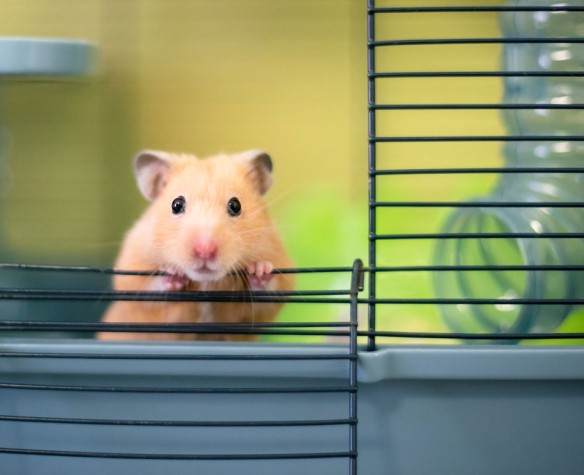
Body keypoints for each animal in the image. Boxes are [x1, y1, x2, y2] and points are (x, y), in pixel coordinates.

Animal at [98, 151, 296, 340]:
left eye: (235, 205)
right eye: (176, 205)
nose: (204, 251)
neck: (205, 282)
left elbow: (267, 291)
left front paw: (259, 269)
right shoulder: (133, 268)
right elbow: (147, 287)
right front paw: (173, 273)